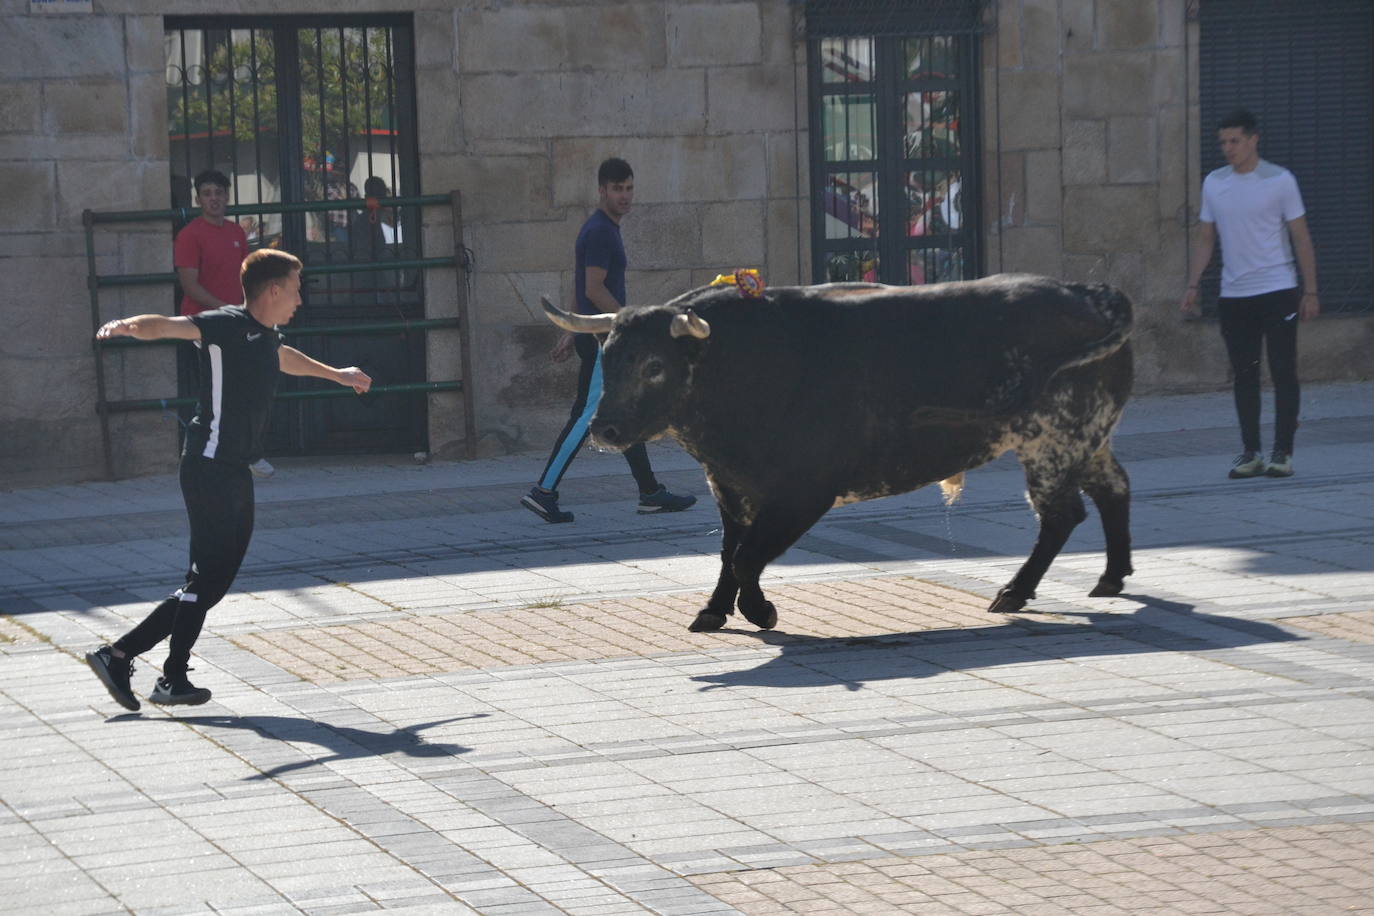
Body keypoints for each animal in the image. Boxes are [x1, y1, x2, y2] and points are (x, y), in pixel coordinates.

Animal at [541, 271, 1132, 631]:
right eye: (607, 359)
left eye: (654, 365)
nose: (604, 429)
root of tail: (1089, 294)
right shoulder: (729, 486)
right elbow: (729, 552)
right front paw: (714, 611)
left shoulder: (802, 493)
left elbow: (746, 556)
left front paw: (760, 611)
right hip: (1087, 436)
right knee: (1114, 489)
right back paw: (1110, 577)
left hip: (1054, 440)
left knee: (1061, 515)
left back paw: (1014, 590)